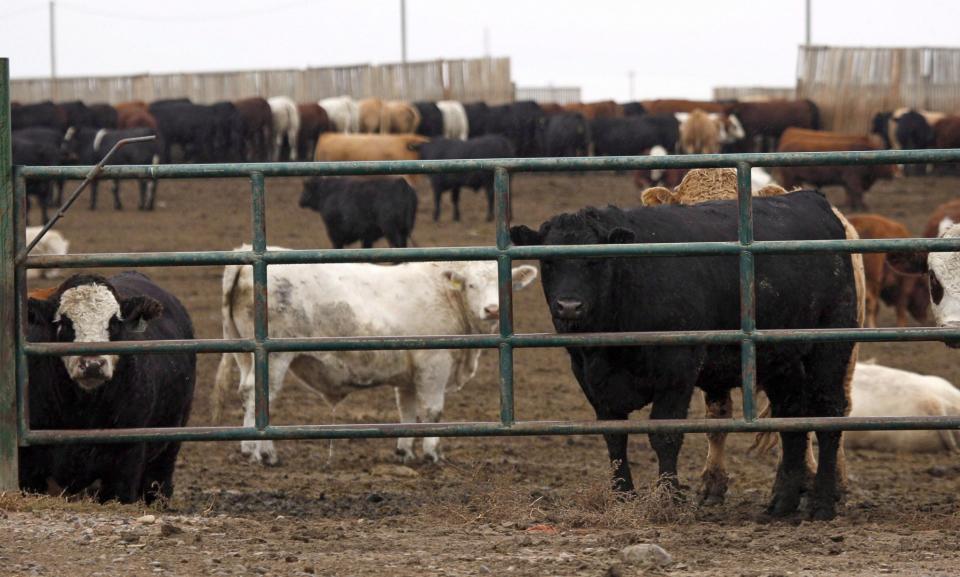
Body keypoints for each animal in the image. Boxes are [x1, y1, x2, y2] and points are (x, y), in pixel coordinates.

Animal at [212, 245, 540, 466]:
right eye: (471, 284)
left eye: (503, 283)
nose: (492, 309)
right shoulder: (434, 363)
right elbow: (432, 411)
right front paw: (433, 453)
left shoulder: (408, 374)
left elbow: (407, 412)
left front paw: (405, 451)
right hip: (273, 357)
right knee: (260, 395)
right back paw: (266, 452)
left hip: (245, 353)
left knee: (245, 393)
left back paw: (248, 448)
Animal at [512, 190, 860, 520]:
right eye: (548, 262)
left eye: (596, 261)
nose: (569, 306)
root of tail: (811, 198)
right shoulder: (589, 377)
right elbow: (614, 437)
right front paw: (623, 496)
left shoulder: (678, 368)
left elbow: (665, 434)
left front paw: (668, 498)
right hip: (781, 361)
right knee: (792, 417)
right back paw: (782, 503)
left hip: (829, 349)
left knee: (828, 413)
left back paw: (822, 503)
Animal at [768, 127, 896, 210]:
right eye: (888, 165)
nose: (896, 174)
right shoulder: (853, 178)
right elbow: (857, 192)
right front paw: (862, 207)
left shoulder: (849, 181)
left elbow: (851, 193)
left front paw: (853, 206)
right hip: (790, 178)